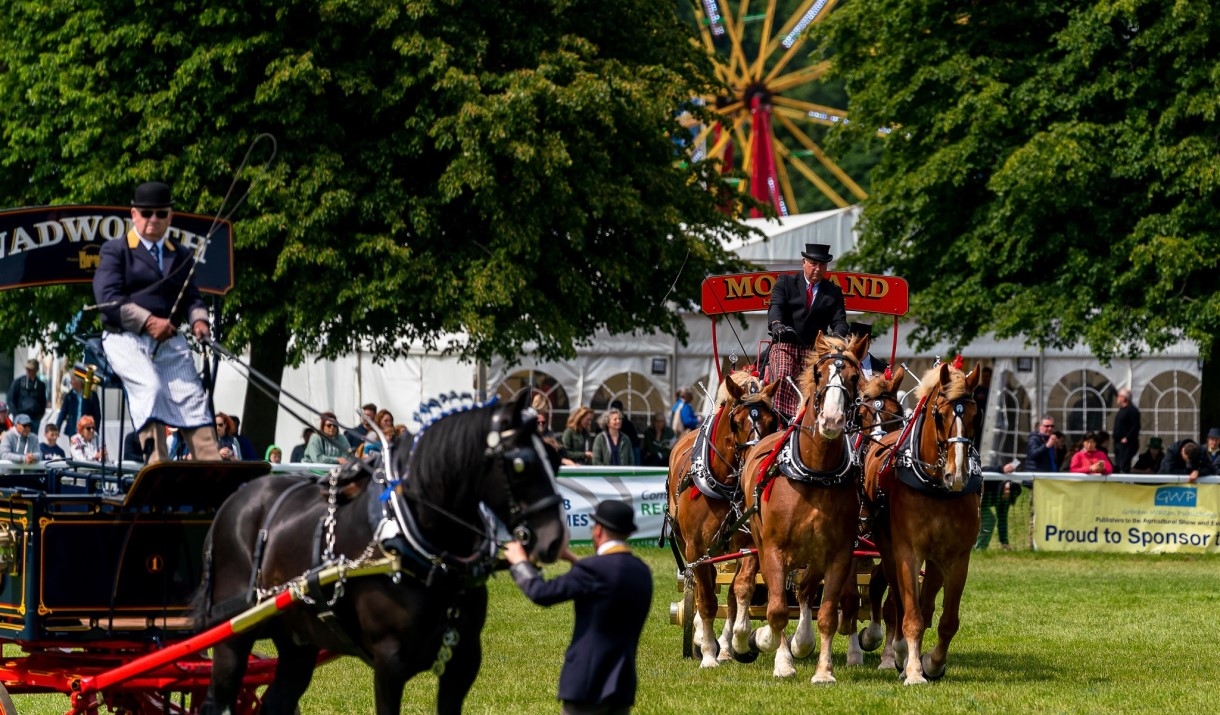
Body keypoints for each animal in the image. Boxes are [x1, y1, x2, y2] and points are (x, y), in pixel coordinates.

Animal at [195, 390, 566, 712]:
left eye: (554, 459)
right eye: (520, 464)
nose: (554, 539)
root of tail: (234, 501)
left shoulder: (463, 662)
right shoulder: (390, 664)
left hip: (297, 640)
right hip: (233, 636)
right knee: (217, 700)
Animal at [668, 370, 780, 663]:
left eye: (771, 421)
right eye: (737, 422)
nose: (756, 460)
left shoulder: (749, 544)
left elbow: (740, 588)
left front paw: (738, 641)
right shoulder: (697, 547)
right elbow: (707, 599)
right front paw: (707, 652)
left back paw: (728, 648)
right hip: (686, 543)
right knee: (699, 587)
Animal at [732, 331, 868, 678]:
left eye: (855, 377)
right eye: (819, 374)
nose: (832, 420)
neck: (815, 473)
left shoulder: (838, 554)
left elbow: (827, 613)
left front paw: (823, 671)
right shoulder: (775, 550)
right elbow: (777, 609)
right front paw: (777, 657)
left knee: (805, 591)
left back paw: (801, 640)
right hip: (760, 543)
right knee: (760, 589)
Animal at [863, 363, 985, 683]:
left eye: (976, 415)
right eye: (938, 415)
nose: (957, 475)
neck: (936, 489)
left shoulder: (957, 557)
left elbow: (947, 620)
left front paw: (933, 663)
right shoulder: (908, 552)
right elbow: (911, 615)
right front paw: (913, 668)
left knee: (925, 600)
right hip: (888, 548)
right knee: (895, 600)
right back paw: (896, 651)